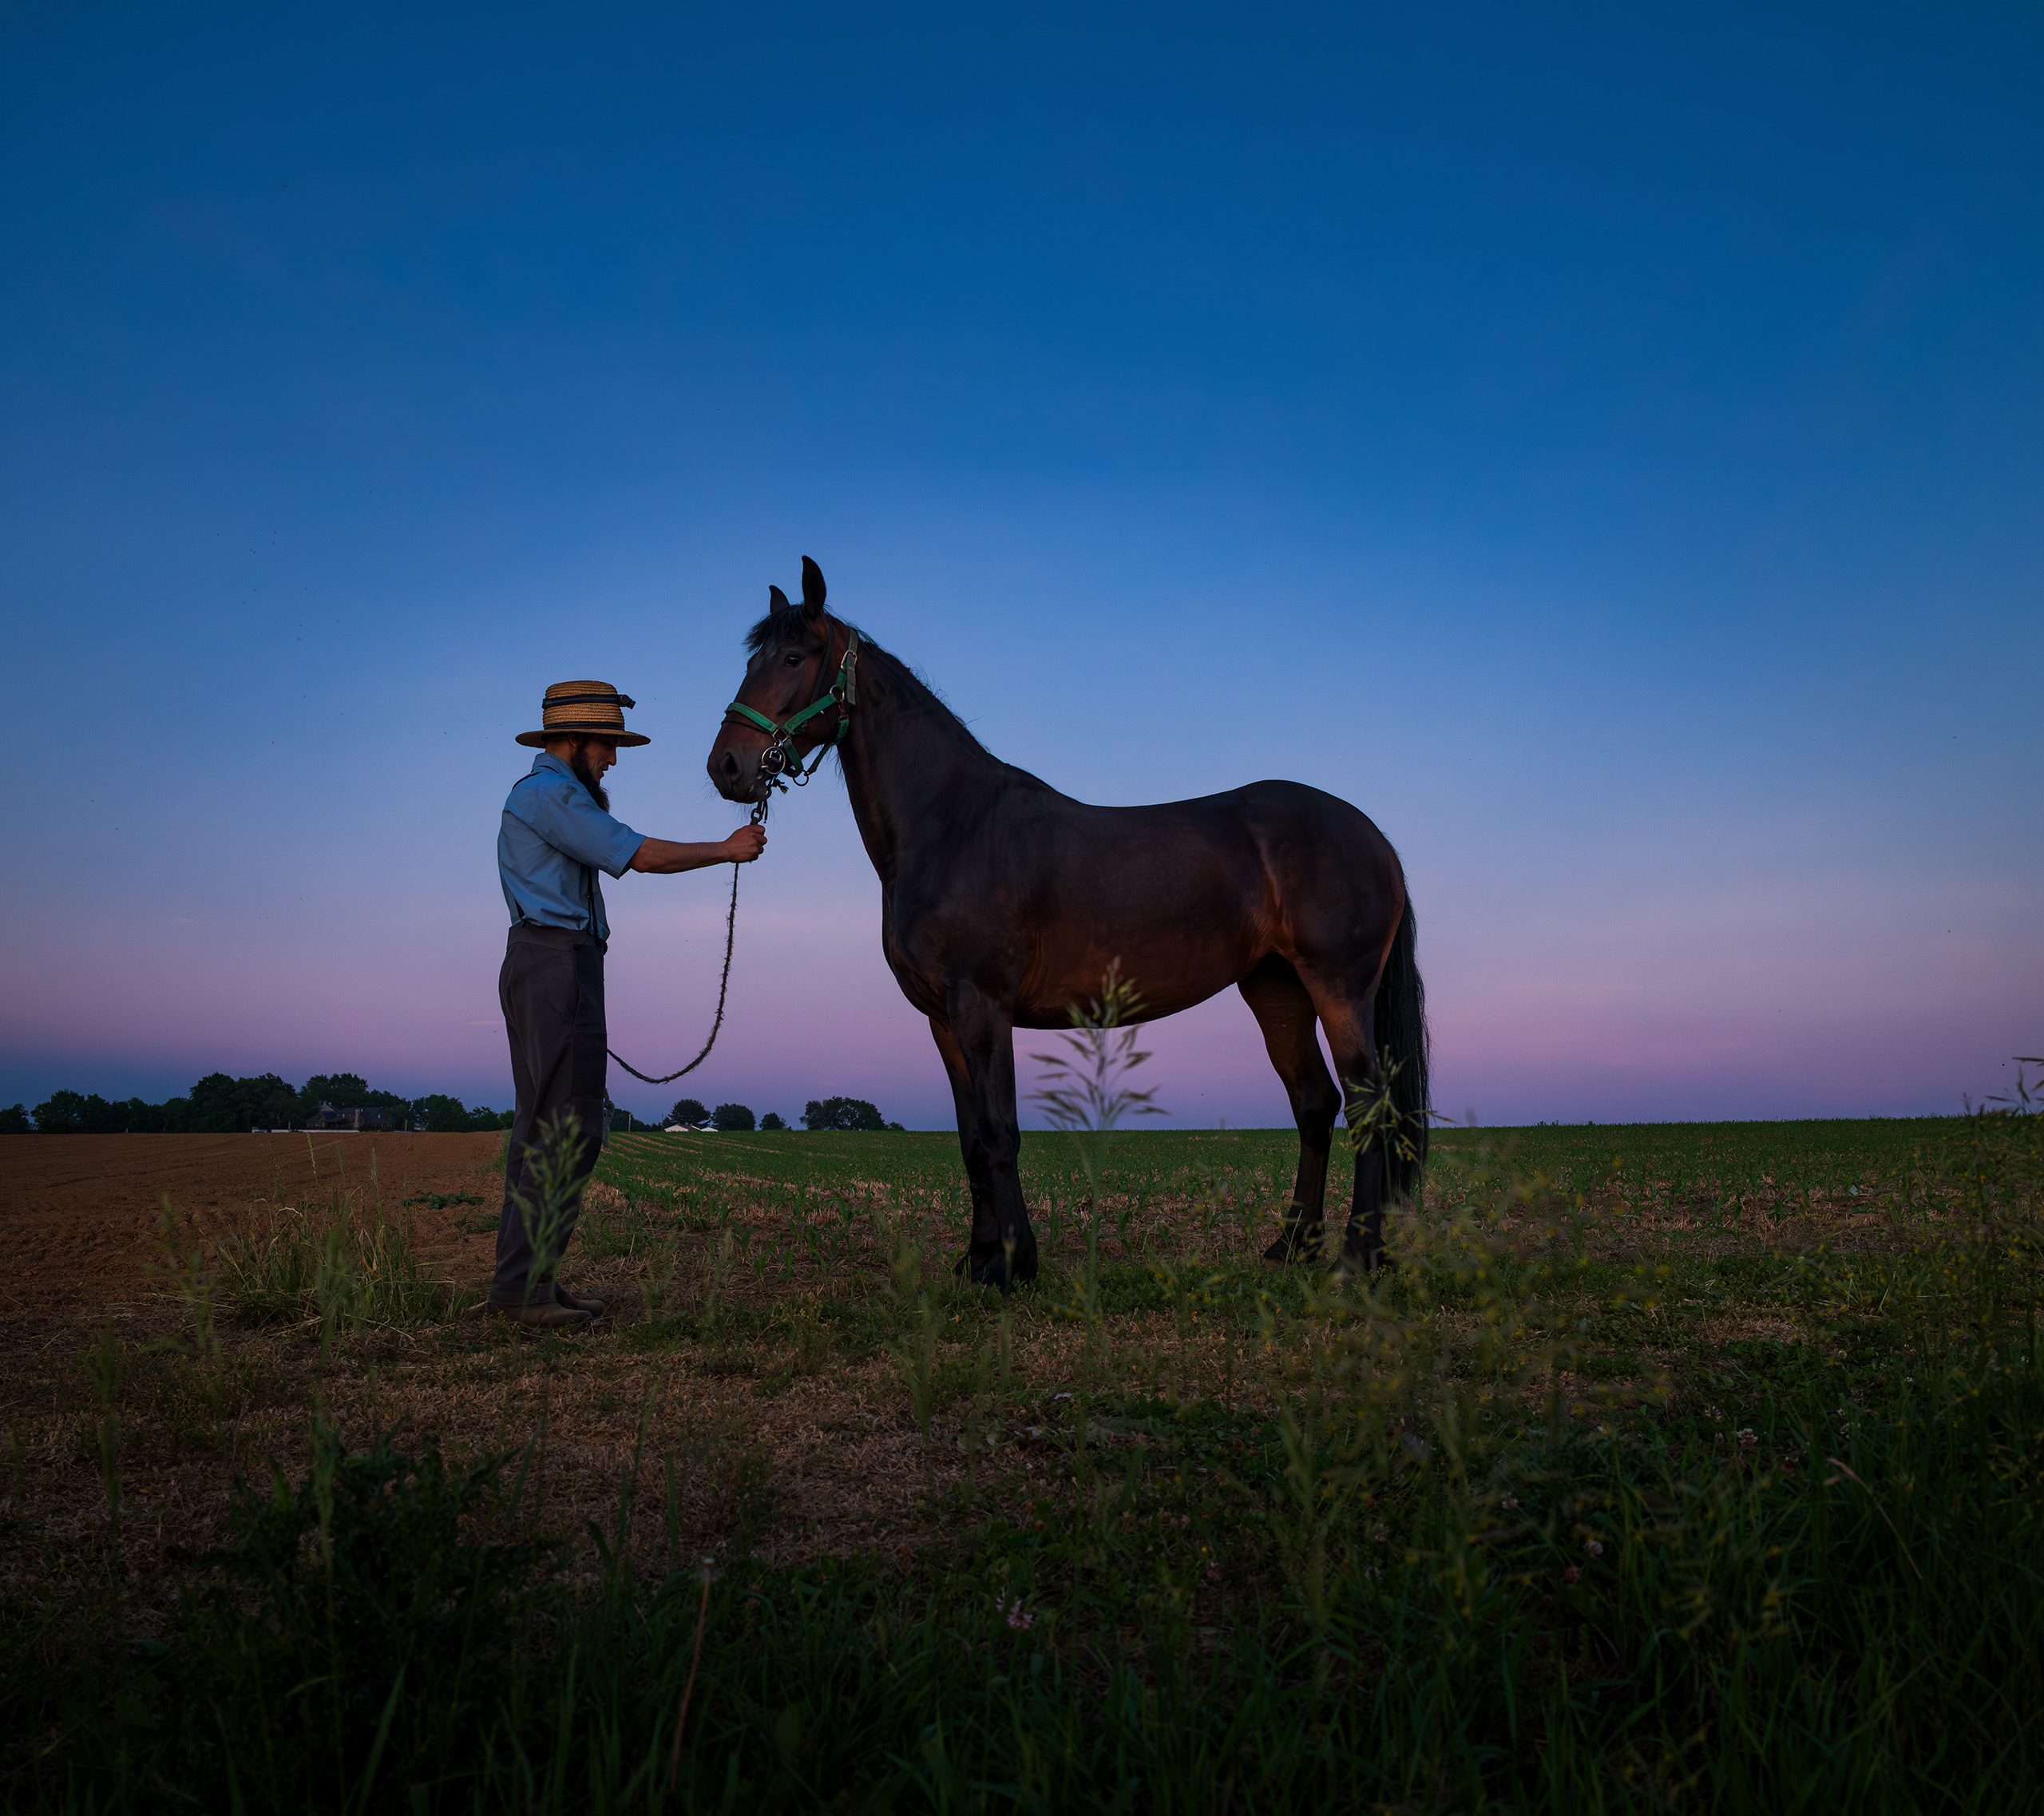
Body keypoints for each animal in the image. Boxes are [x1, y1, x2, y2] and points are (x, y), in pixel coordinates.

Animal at [706, 557, 1429, 1289]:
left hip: (1337, 986)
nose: (727, 766)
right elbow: (971, 1142)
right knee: (1314, 1102)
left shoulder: (983, 1006)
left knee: (1369, 1105)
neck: (954, 826)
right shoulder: (943, 1018)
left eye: (794, 657)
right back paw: (1293, 1245)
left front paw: (1012, 1265)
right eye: (752, 659)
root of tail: (1372, 836)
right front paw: (979, 1260)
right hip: (1277, 989)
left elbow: (1000, 1132)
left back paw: (1357, 1262)